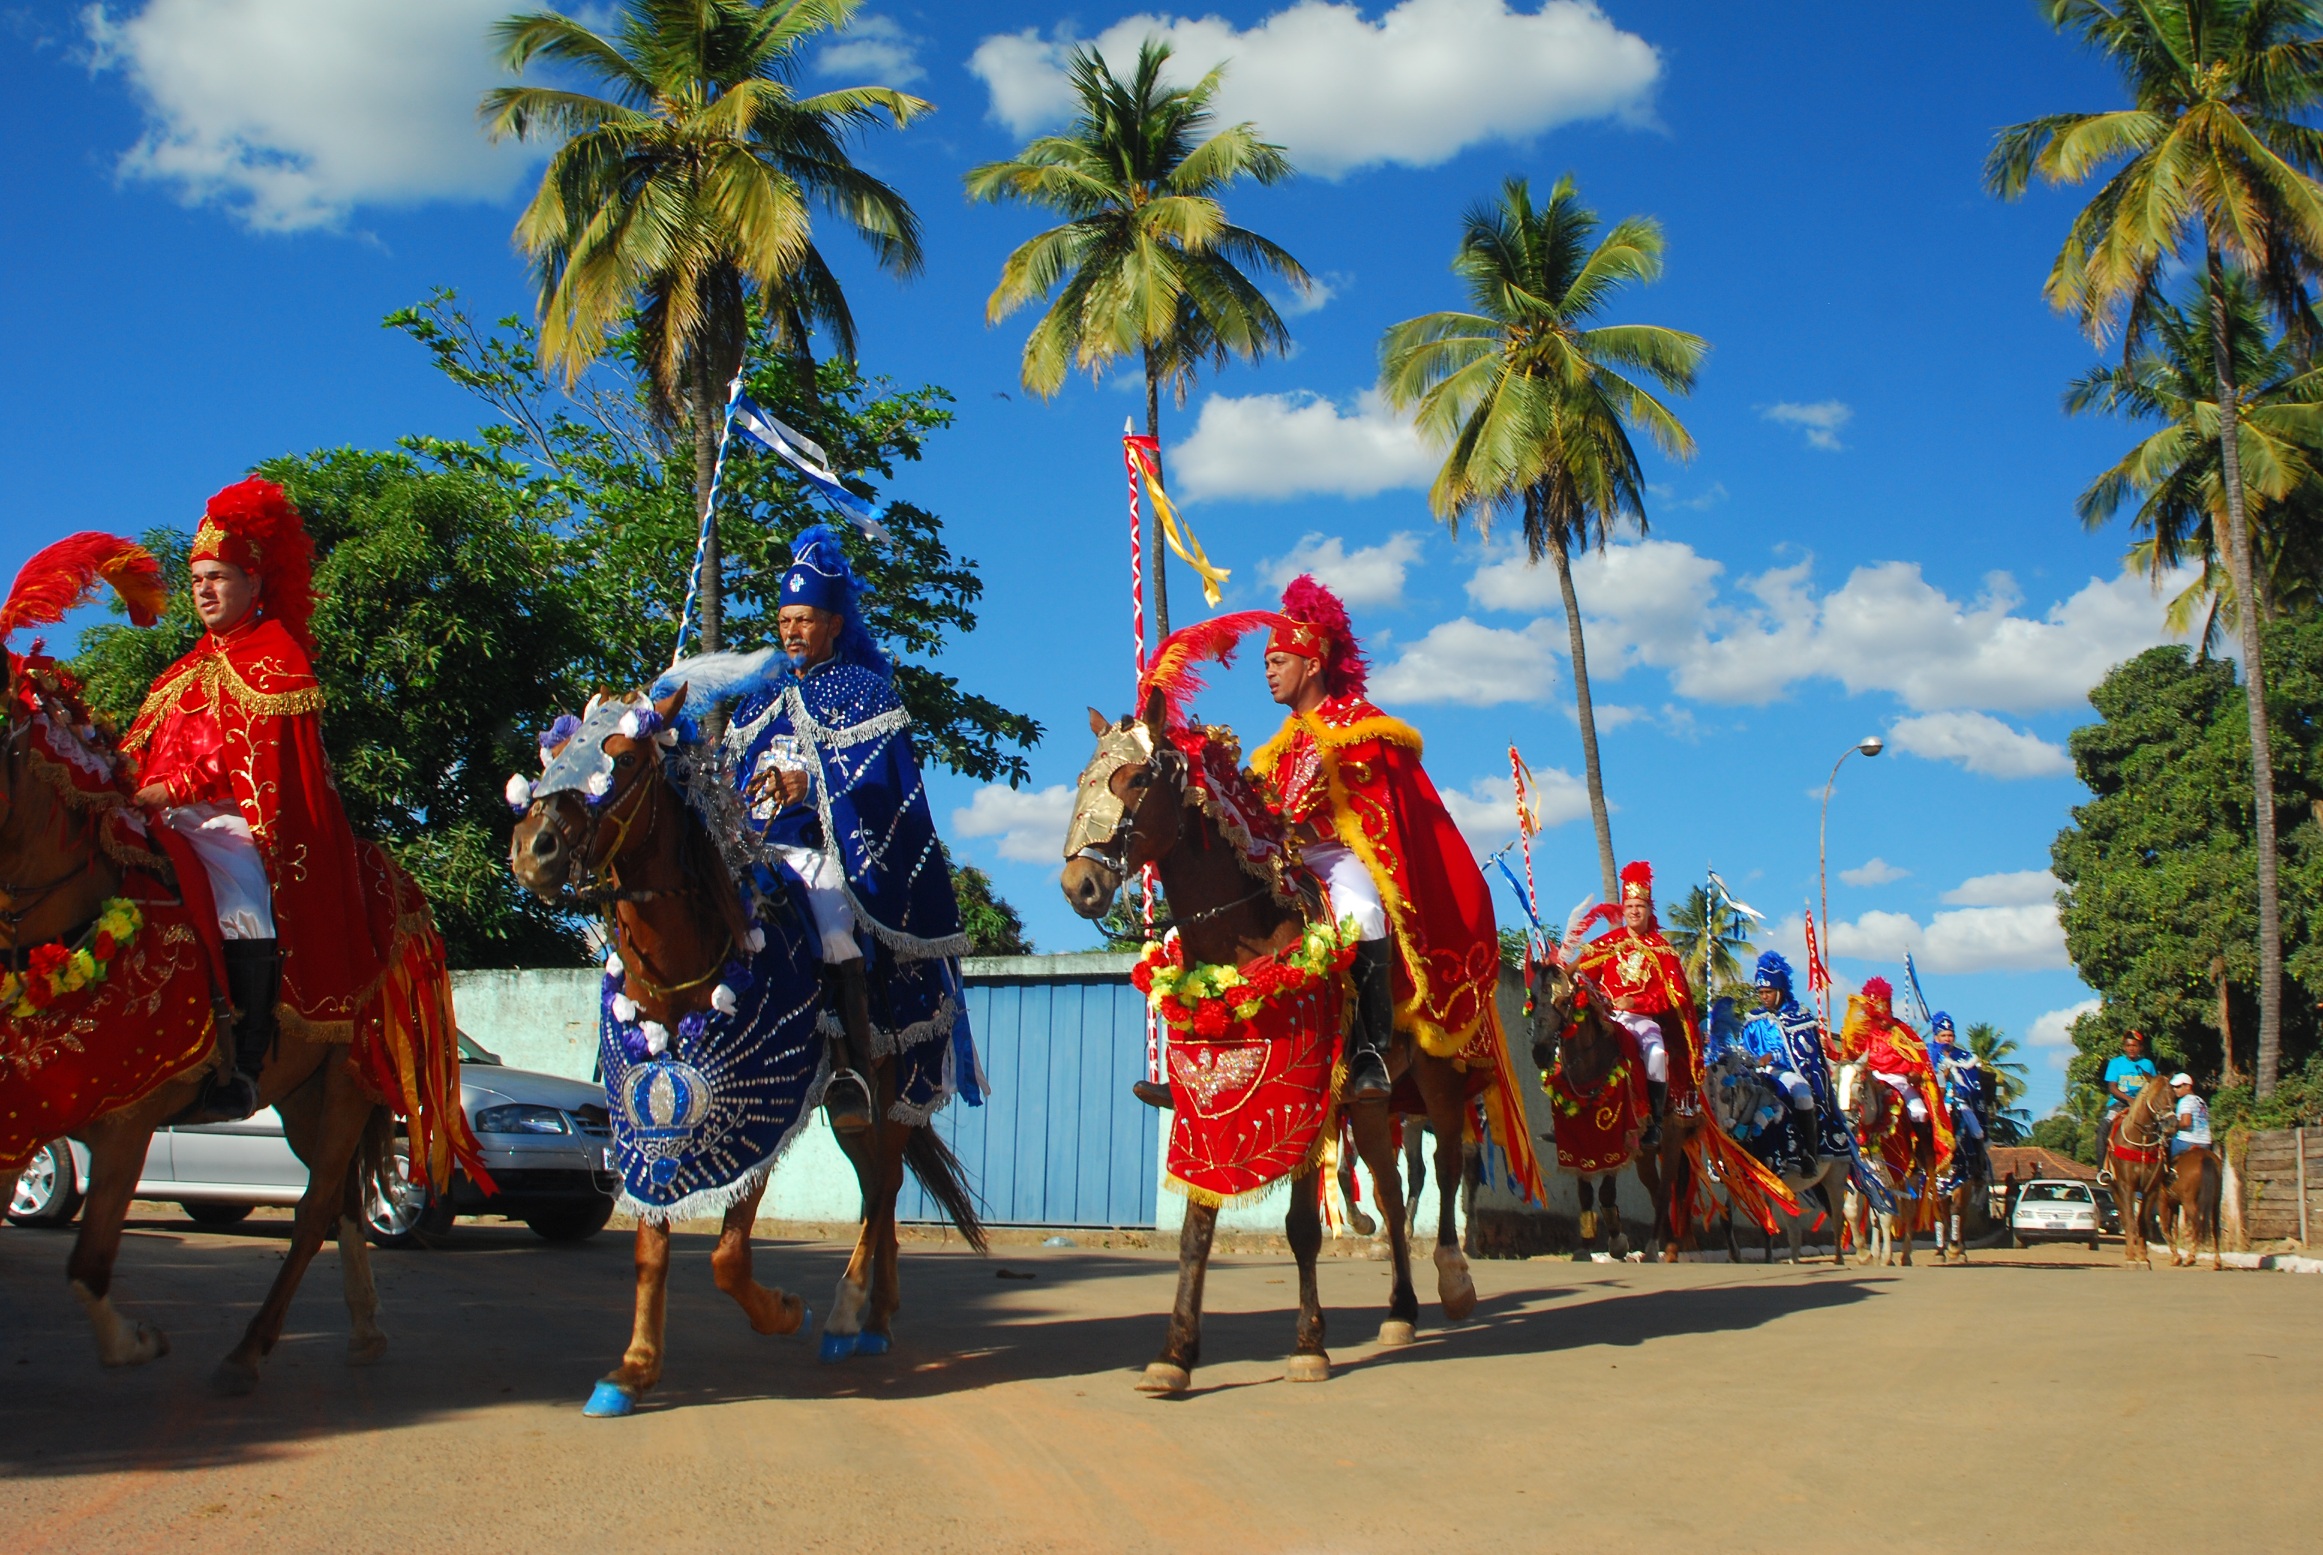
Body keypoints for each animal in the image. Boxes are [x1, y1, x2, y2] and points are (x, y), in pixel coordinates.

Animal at [2, 646, 466, 1394]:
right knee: (342, 1201)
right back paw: (363, 1328)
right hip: (303, 1099)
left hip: (347, 1085)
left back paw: (249, 1349)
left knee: (314, 1211)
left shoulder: (128, 1121)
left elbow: (89, 1266)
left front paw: (138, 1341)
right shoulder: (21, 1111)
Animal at [508, 683, 980, 1413]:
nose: (534, 849)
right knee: (877, 1182)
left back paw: (849, 1316)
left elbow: (728, 1256)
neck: (689, 960)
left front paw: (784, 1311)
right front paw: (633, 1368)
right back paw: (875, 1317)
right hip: (848, 1111)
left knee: (884, 1189)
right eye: (552, 754)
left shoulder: (760, 1106)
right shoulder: (651, 1111)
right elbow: (650, 1246)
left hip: (896, 1085)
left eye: (624, 756)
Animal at [1063, 701, 1477, 1394]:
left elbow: (1302, 1227)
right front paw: (1176, 1353)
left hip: (1438, 1076)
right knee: (1391, 1195)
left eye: (1139, 779)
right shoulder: (1207, 1110)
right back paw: (1399, 1311)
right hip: (1369, 1099)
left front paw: (1309, 1345)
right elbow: (1197, 1230)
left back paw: (1453, 1279)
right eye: (1082, 780)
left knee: (1445, 1168)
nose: (1079, 883)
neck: (1242, 935)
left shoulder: (1305, 1098)